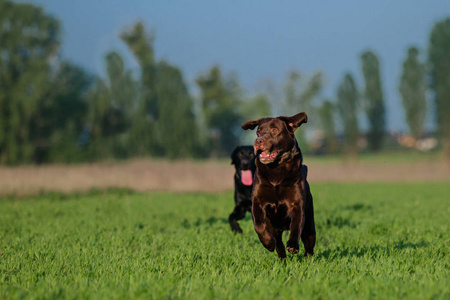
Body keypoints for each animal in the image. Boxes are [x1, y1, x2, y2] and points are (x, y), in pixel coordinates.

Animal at [243, 112, 316, 258]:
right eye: (258, 132)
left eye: (274, 130)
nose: (258, 141)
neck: (276, 169)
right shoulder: (257, 202)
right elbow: (258, 225)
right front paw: (268, 243)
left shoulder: (296, 205)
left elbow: (296, 226)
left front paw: (292, 245)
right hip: (275, 228)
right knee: (279, 246)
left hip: (310, 226)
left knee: (309, 246)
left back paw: (308, 259)